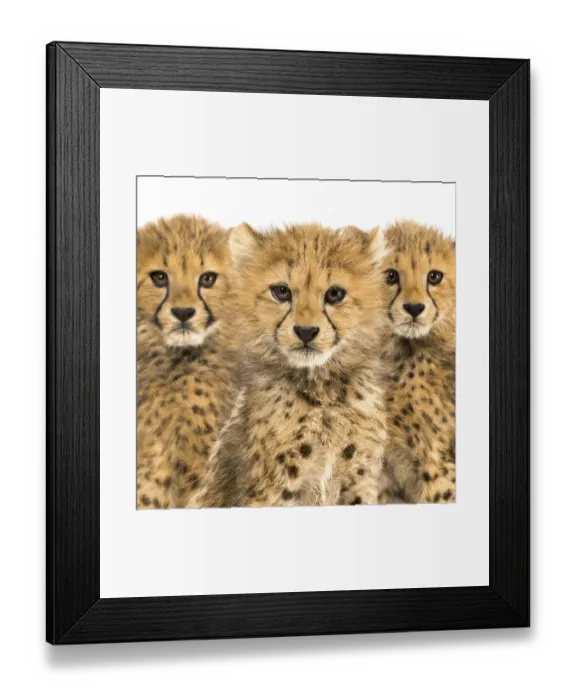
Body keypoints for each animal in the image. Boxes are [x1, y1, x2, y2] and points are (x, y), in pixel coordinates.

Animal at [189, 222, 390, 508]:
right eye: (281, 291)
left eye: (334, 294)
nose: (306, 331)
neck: (323, 391)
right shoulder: (277, 490)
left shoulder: (359, 481)